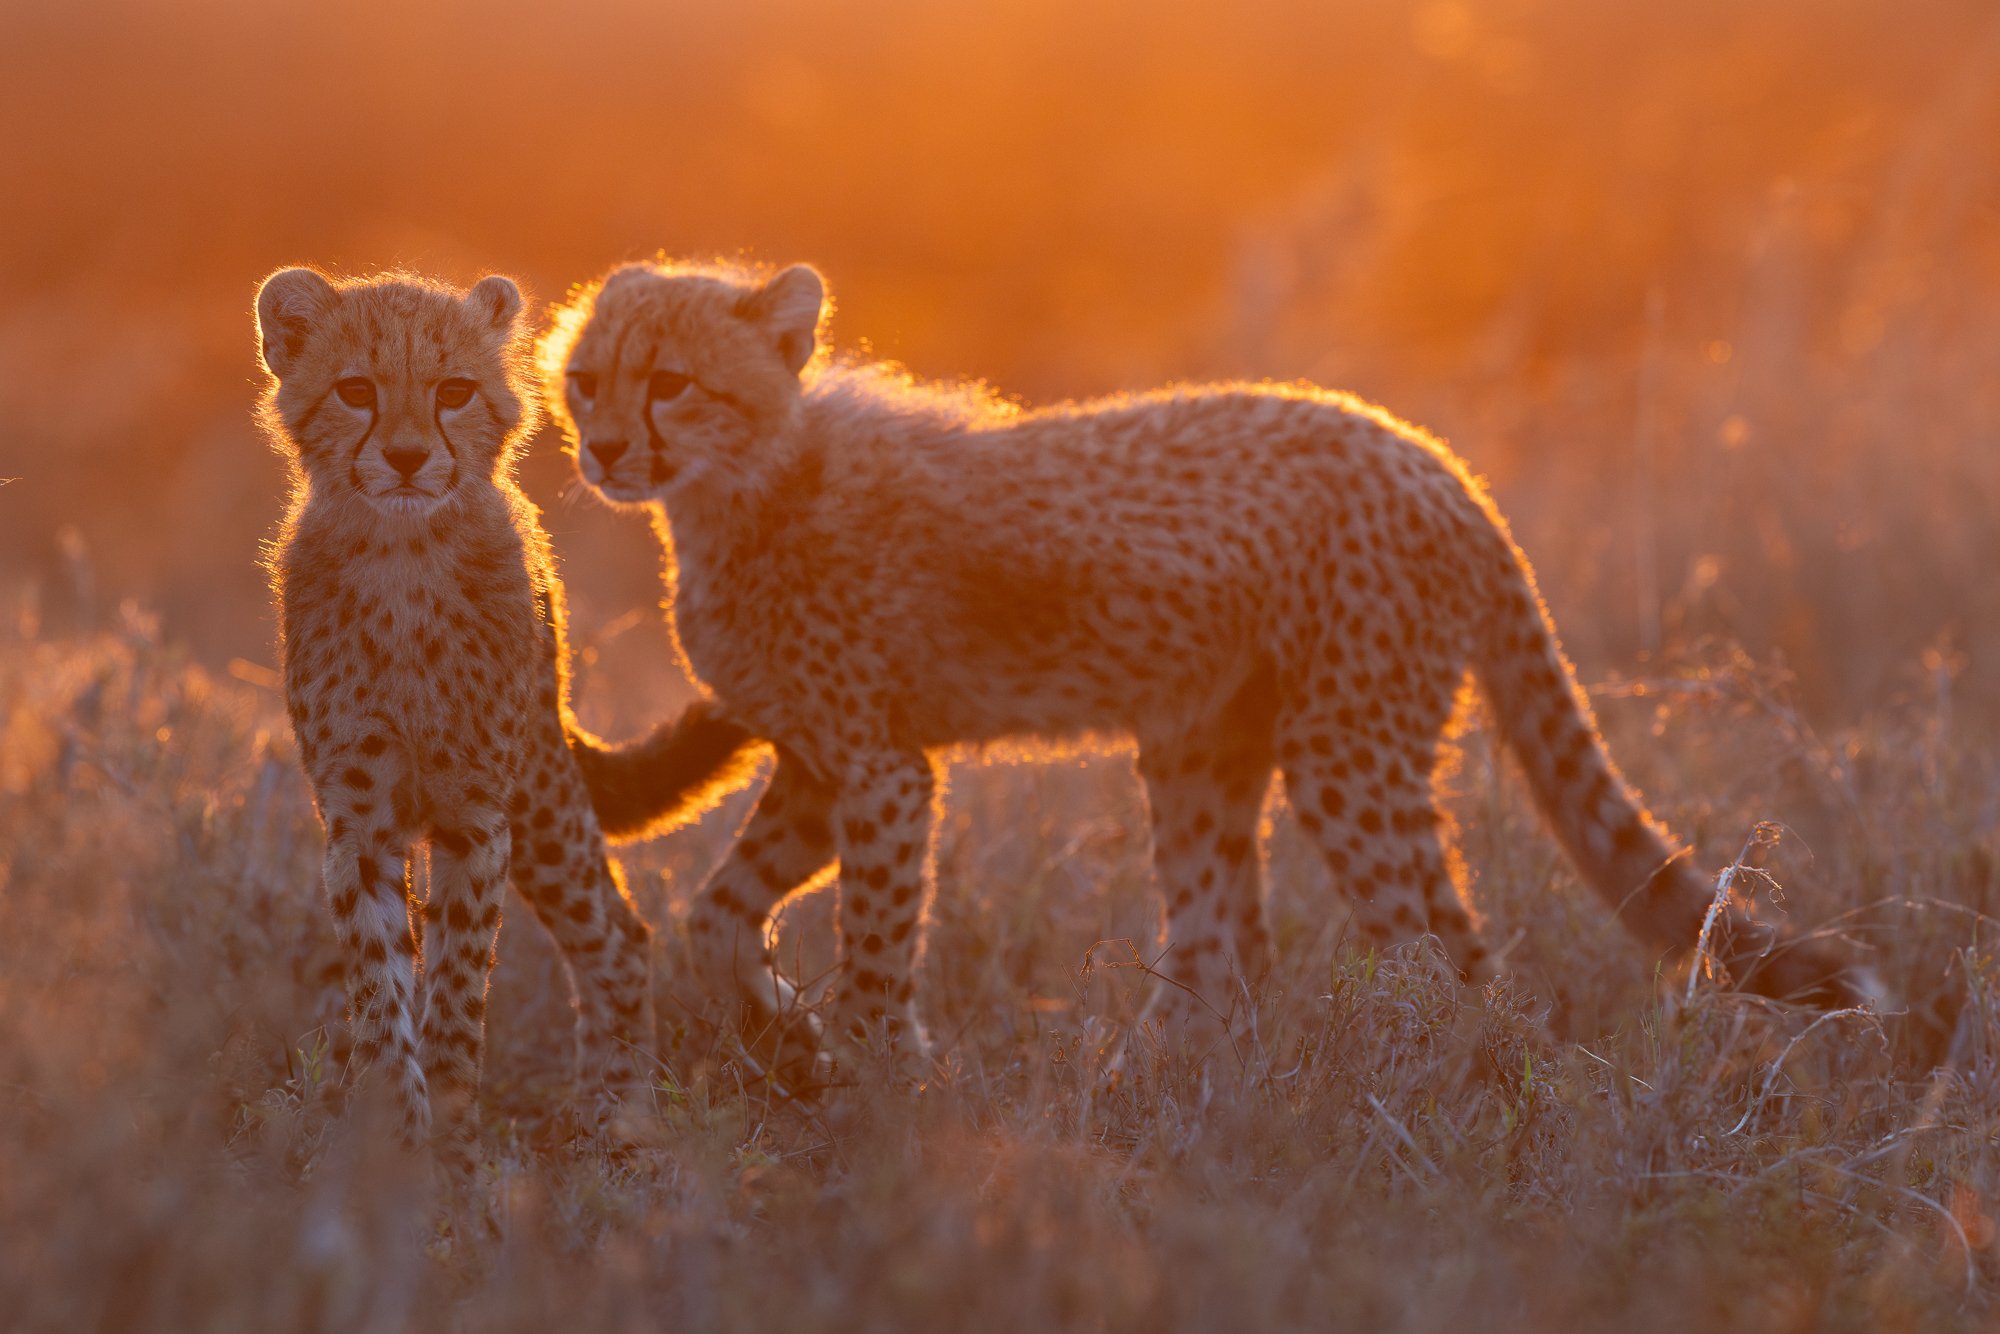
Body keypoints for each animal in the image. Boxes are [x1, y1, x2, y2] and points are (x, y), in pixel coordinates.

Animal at [254, 266, 760, 1164]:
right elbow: (381, 985)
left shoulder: (474, 816)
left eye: (453, 391)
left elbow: (456, 985)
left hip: (539, 793)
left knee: (618, 935)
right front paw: (398, 1140)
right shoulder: (359, 825)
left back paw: (617, 1117)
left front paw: (453, 1136)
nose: (408, 457)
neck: (405, 560)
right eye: (356, 390)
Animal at [541, 257, 1873, 1069]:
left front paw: (873, 1074)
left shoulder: (879, 769)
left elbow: (870, 939)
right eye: (585, 377)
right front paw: (779, 1028)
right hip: (1199, 749)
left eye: (670, 381)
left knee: (1428, 947)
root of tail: (1431, 456)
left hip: (1345, 753)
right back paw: (1174, 1087)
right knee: (1250, 948)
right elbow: (714, 912)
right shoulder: (821, 762)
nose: (600, 447)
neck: (739, 488)